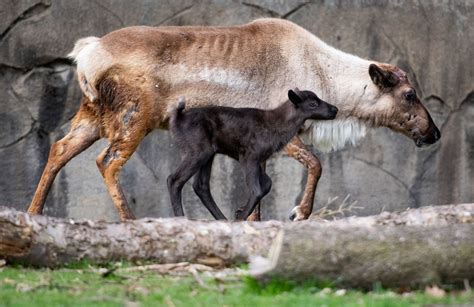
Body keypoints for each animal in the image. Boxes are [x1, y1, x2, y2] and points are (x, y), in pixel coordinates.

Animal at [167, 89, 336, 221]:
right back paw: (181, 217)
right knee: (174, 179)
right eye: (313, 104)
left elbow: (267, 184)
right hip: (196, 151)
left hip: (208, 154)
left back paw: (222, 218)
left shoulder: (255, 159)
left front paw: (239, 211)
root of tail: (177, 119)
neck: (279, 125)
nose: (334, 109)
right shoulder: (249, 156)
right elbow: (257, 189)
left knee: (200, 185)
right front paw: (241, 216)